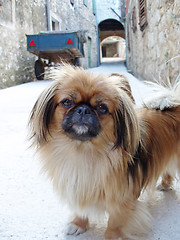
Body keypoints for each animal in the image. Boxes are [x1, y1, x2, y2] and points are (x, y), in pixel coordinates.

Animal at [28, 64, 180, 240]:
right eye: (67, 102)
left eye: (102, 108)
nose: (83, 109)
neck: (83, 151)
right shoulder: (78, 187)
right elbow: (81, 209)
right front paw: (78, 224)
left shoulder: (122, 200)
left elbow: (115, 222)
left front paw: (112, 236)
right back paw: (165, 184)